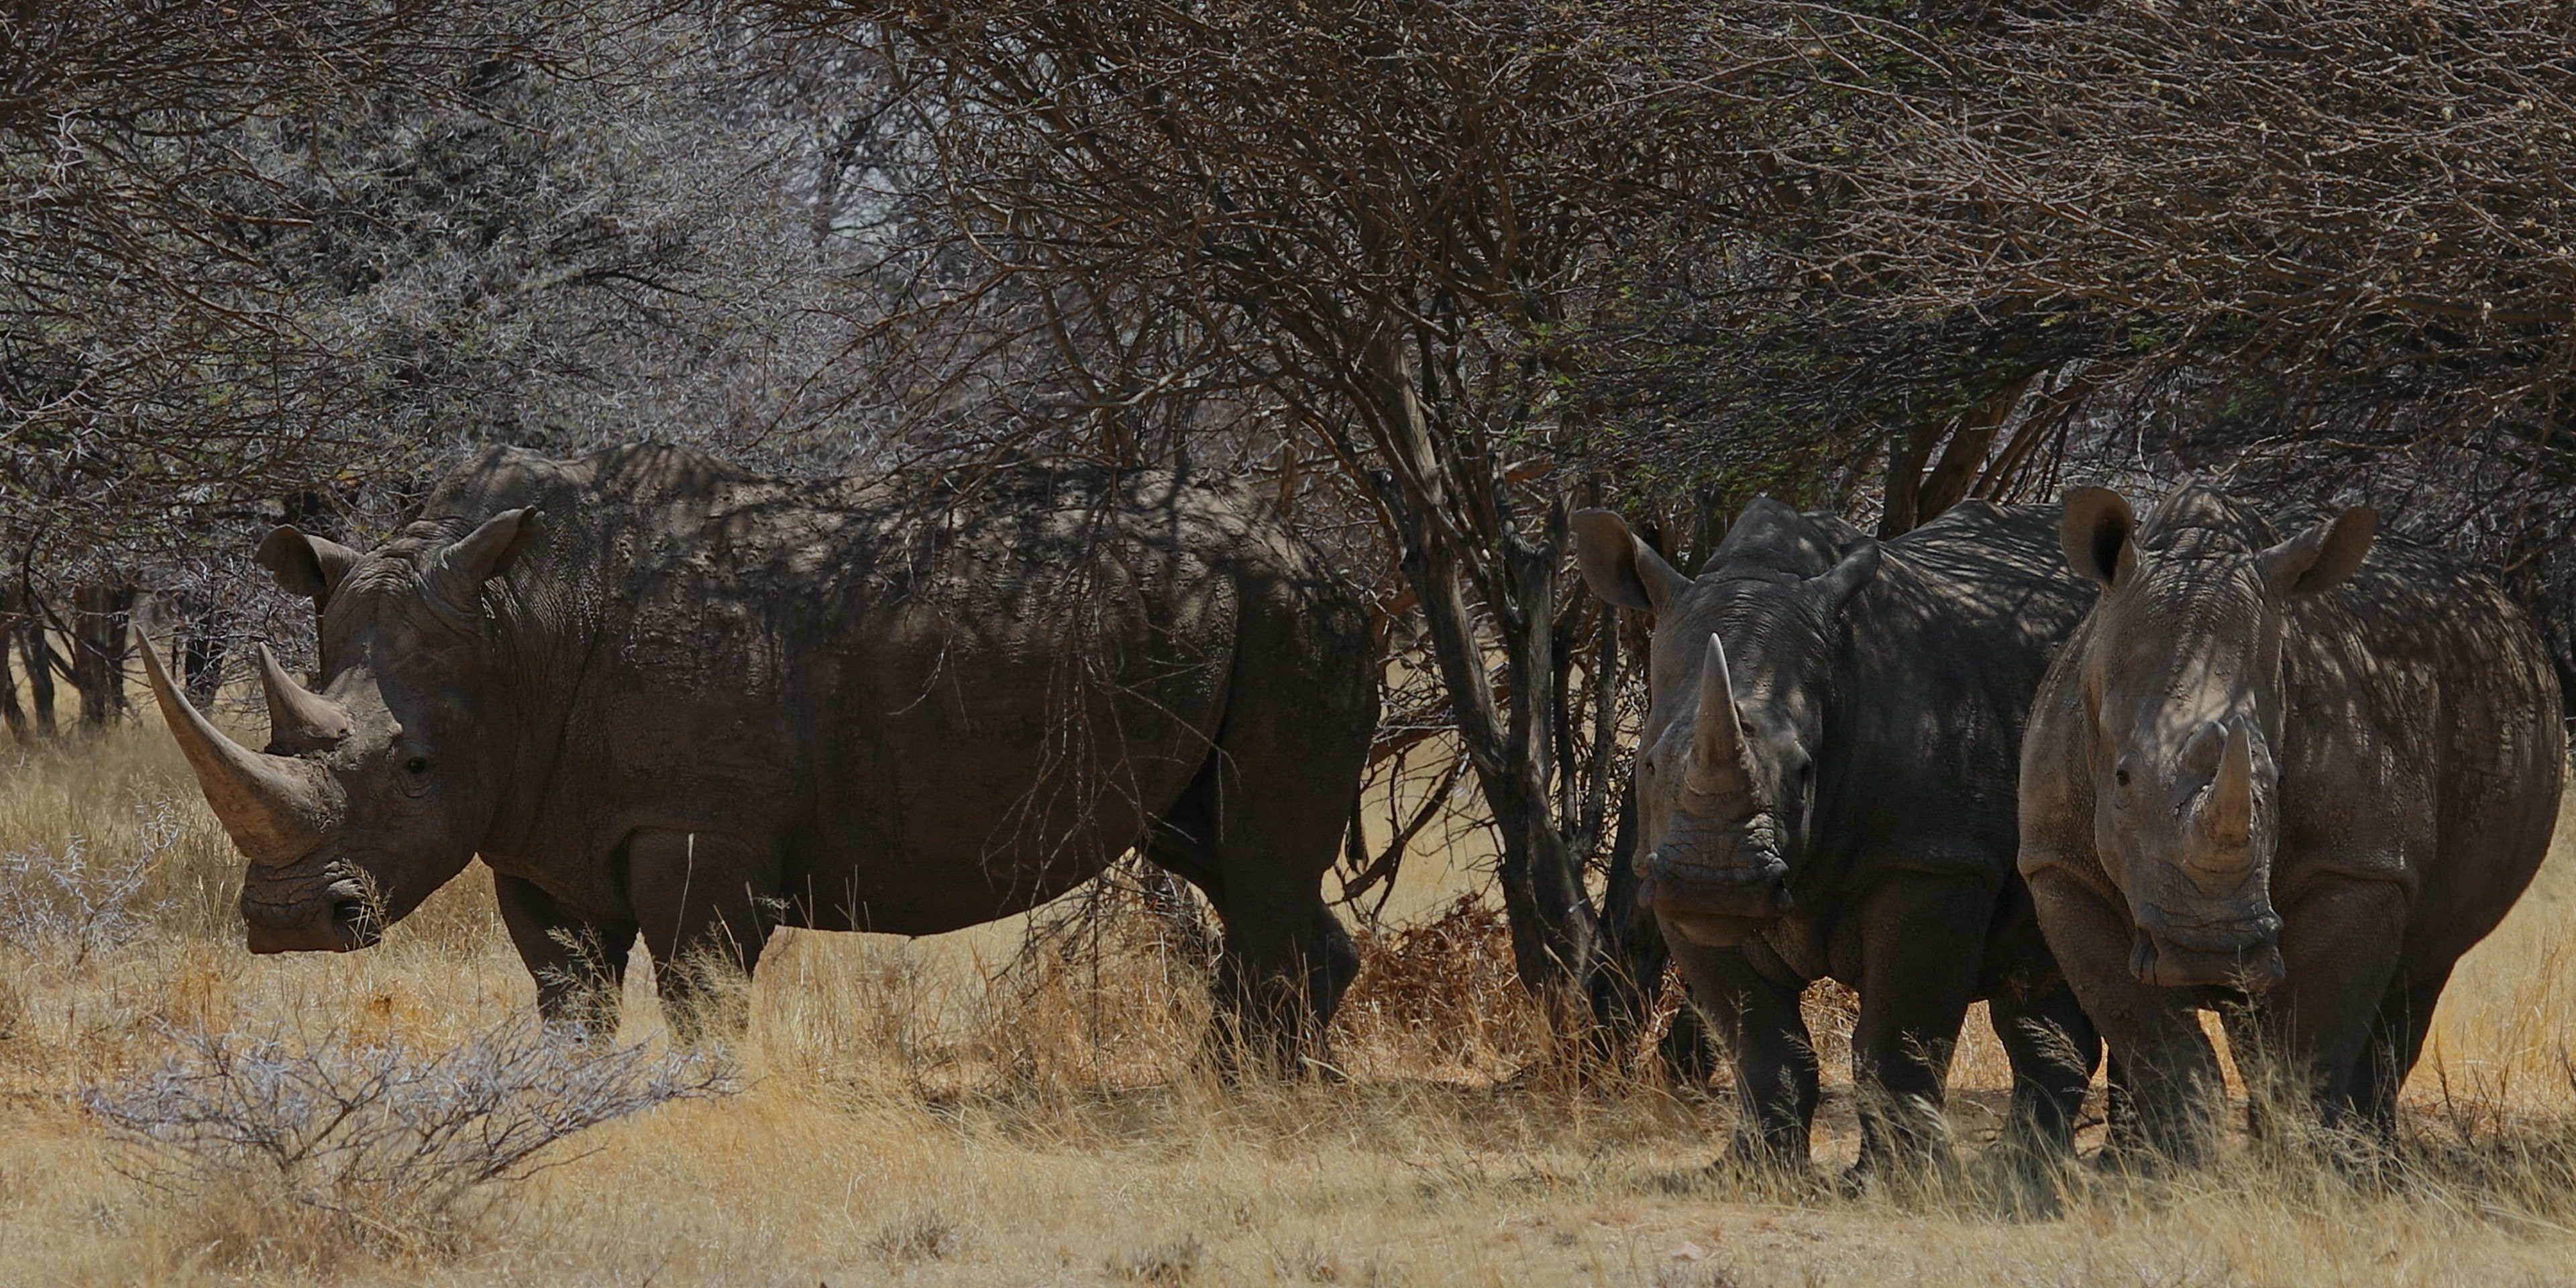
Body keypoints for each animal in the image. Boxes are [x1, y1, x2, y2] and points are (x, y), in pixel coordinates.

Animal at [143, 444, 1376, 1056]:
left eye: (413, 769)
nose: (292, 925)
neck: (516, 627)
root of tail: (1312, 545)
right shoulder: (537, 828)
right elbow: (568, 993)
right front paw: (574, 1108)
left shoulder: (700, 819)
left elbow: (701, 991)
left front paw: (704, 1102)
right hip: (1236, 626)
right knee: (1223, 860)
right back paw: (1278, 1092)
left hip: (1294, 618)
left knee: (1259, 867)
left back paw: (1238, 1103)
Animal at [1575, 498, 2101, 1175]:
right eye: (1647, 766)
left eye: (1804, 769)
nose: (1713, 883)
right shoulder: (1663, 882)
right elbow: (1764, 1046)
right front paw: (1752, 1172)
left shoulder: (1934, 861)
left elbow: (1895, 1037)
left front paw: (1895, 1180)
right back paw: (2024, 1168)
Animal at [2019, 485, 2564, 1163]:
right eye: (2121, 779)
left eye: (2276, 782)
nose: (2211, 950)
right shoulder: (2058, 866)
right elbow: (2154, 1041)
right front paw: (2181, 1166)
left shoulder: (2358, 866)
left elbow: (2309, 1046)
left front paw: (2299, 1165)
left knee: (2418, 980)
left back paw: (2372, 1165)